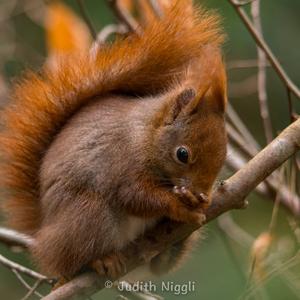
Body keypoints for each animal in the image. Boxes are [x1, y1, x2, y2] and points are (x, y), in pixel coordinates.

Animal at [0, 1, 227, 278]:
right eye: (182, 154)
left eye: (224, 155)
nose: (201, 192)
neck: (146, 136)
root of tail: (45, 233)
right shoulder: (122, 164)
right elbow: (134, 196)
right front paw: (179, 205)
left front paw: (202, 201)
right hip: (89, 214)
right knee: (73, 259)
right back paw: (101, 260)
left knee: (160, 265)